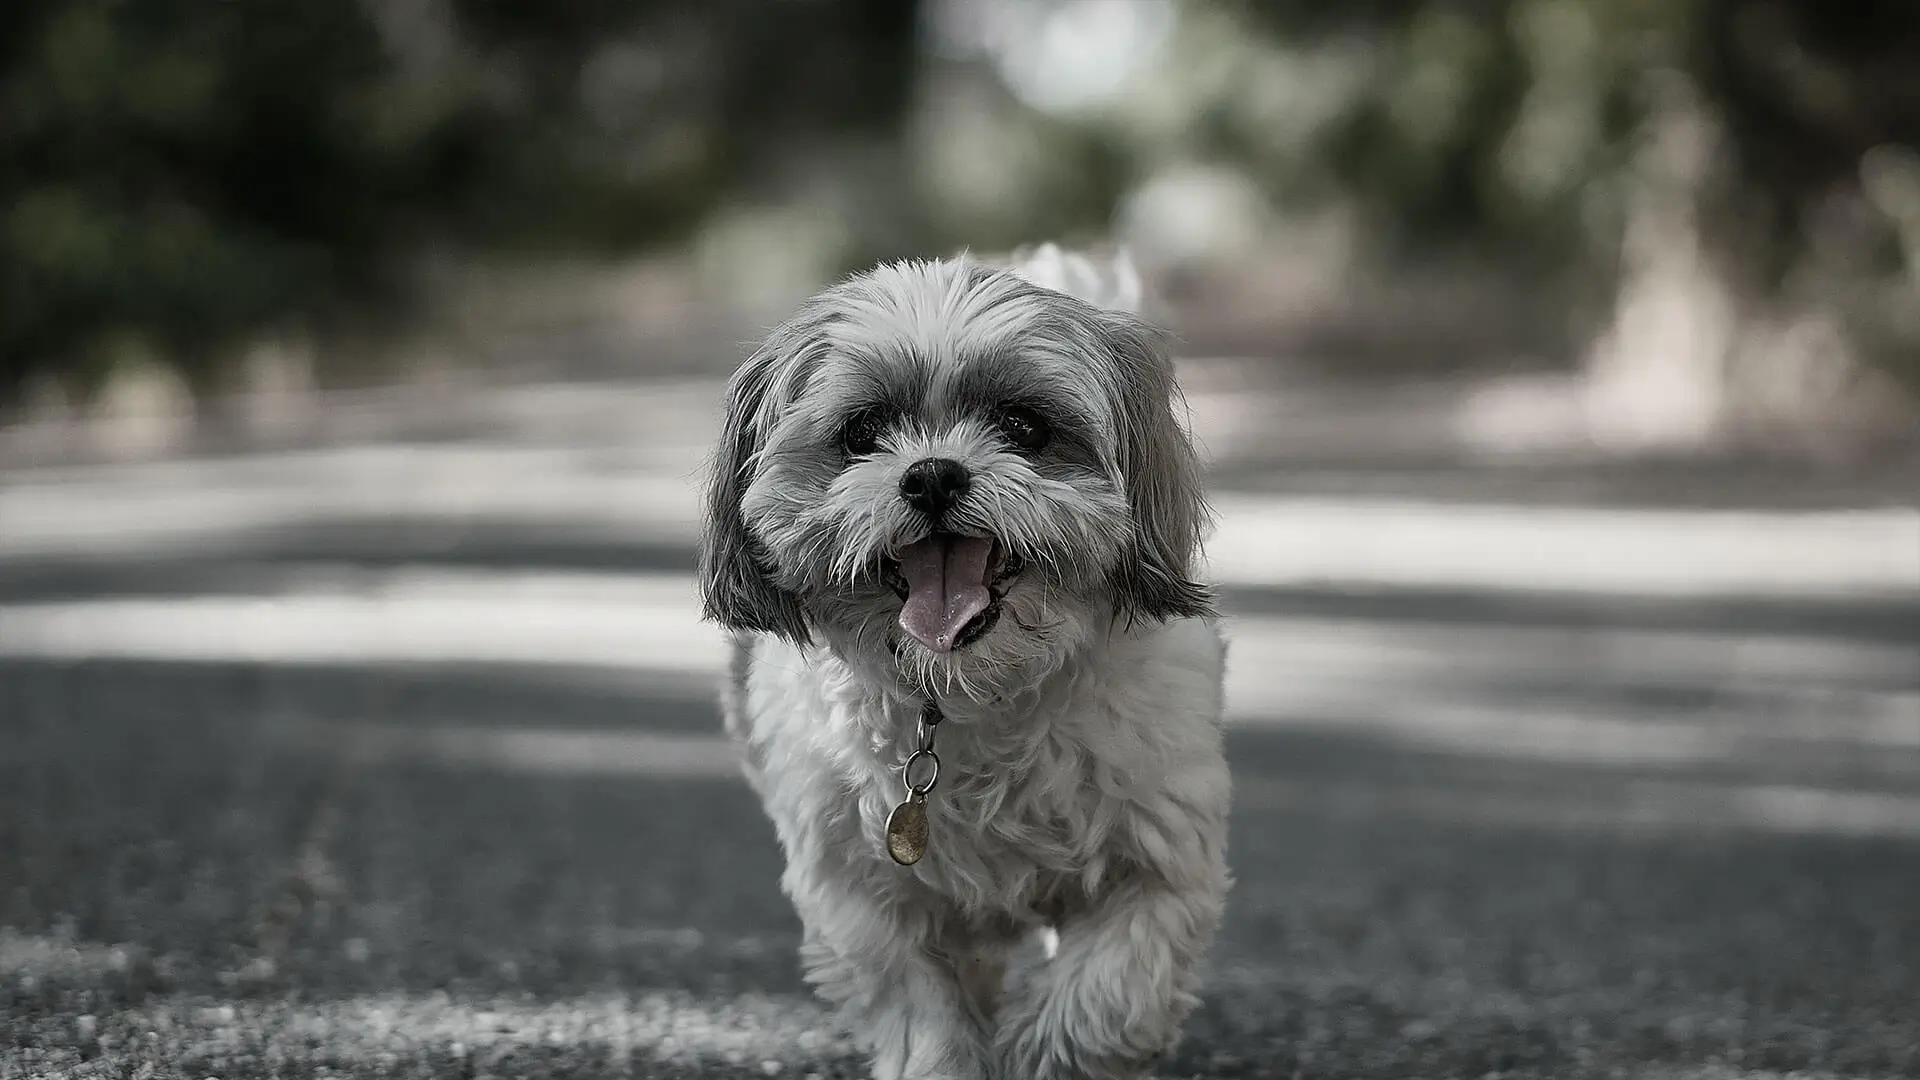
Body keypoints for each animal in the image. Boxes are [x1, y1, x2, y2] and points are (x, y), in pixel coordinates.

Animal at [702, 244, 1228, 1076]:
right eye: (864, 430)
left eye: (1023, 425)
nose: (933, 472)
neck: (968, 695)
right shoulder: (859, 893)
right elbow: (919, 1006)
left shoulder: (1157, 860)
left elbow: (1107, 993)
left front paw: (1047, 1053)